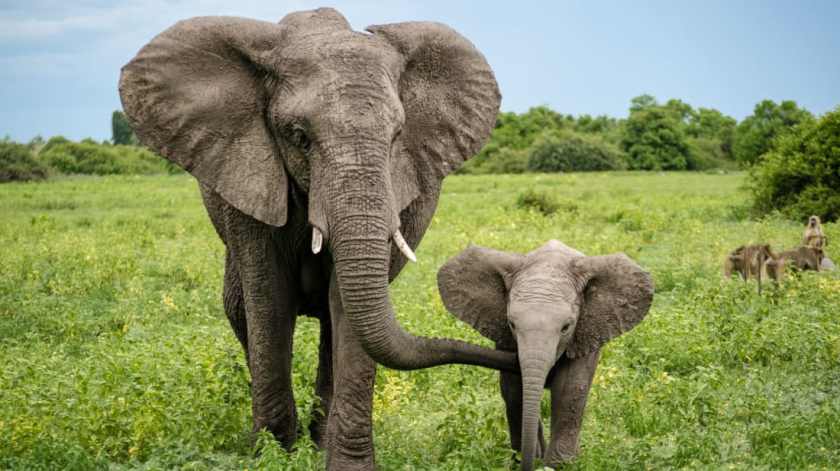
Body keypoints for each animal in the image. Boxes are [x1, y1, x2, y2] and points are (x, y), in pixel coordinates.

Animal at [118, 8, 517, 470]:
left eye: (398, 136)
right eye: (298, 136)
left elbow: (346, 305)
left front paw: (345, 465)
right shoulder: (250, 180)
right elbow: (269, 300)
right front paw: (272, 456)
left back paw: (319, 441)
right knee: (240, 311)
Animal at [437, 240, 654, 470]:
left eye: (566, 327)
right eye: (512, 324)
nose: (528, 465)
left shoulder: (586, 332)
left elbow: (570, 389)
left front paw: (559, 465)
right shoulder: (503, 335)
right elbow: (514, 390)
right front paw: (525, 459)